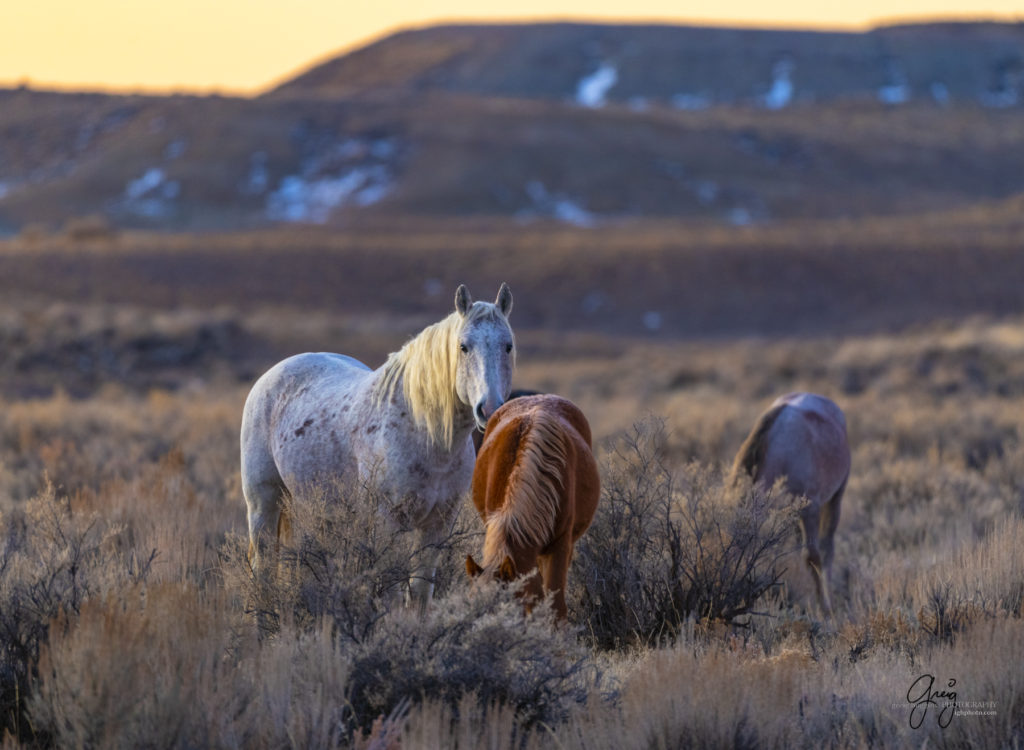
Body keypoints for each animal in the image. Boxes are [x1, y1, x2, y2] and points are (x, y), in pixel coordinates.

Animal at [238, 284, 512, 606]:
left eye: (508, 346)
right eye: (463, 347)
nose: (489, 409)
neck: (427, 436)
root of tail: (272, 374)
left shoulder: (437, 524)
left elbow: (420, 593)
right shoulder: (388, 522)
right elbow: (391, 592)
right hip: (263, 504)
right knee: (264, 570)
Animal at [733, 393, 851, 614]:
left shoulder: (811, 509)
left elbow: (812, 557)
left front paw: (824, 609)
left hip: (835, 499)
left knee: (827, 548)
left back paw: (829, 601)